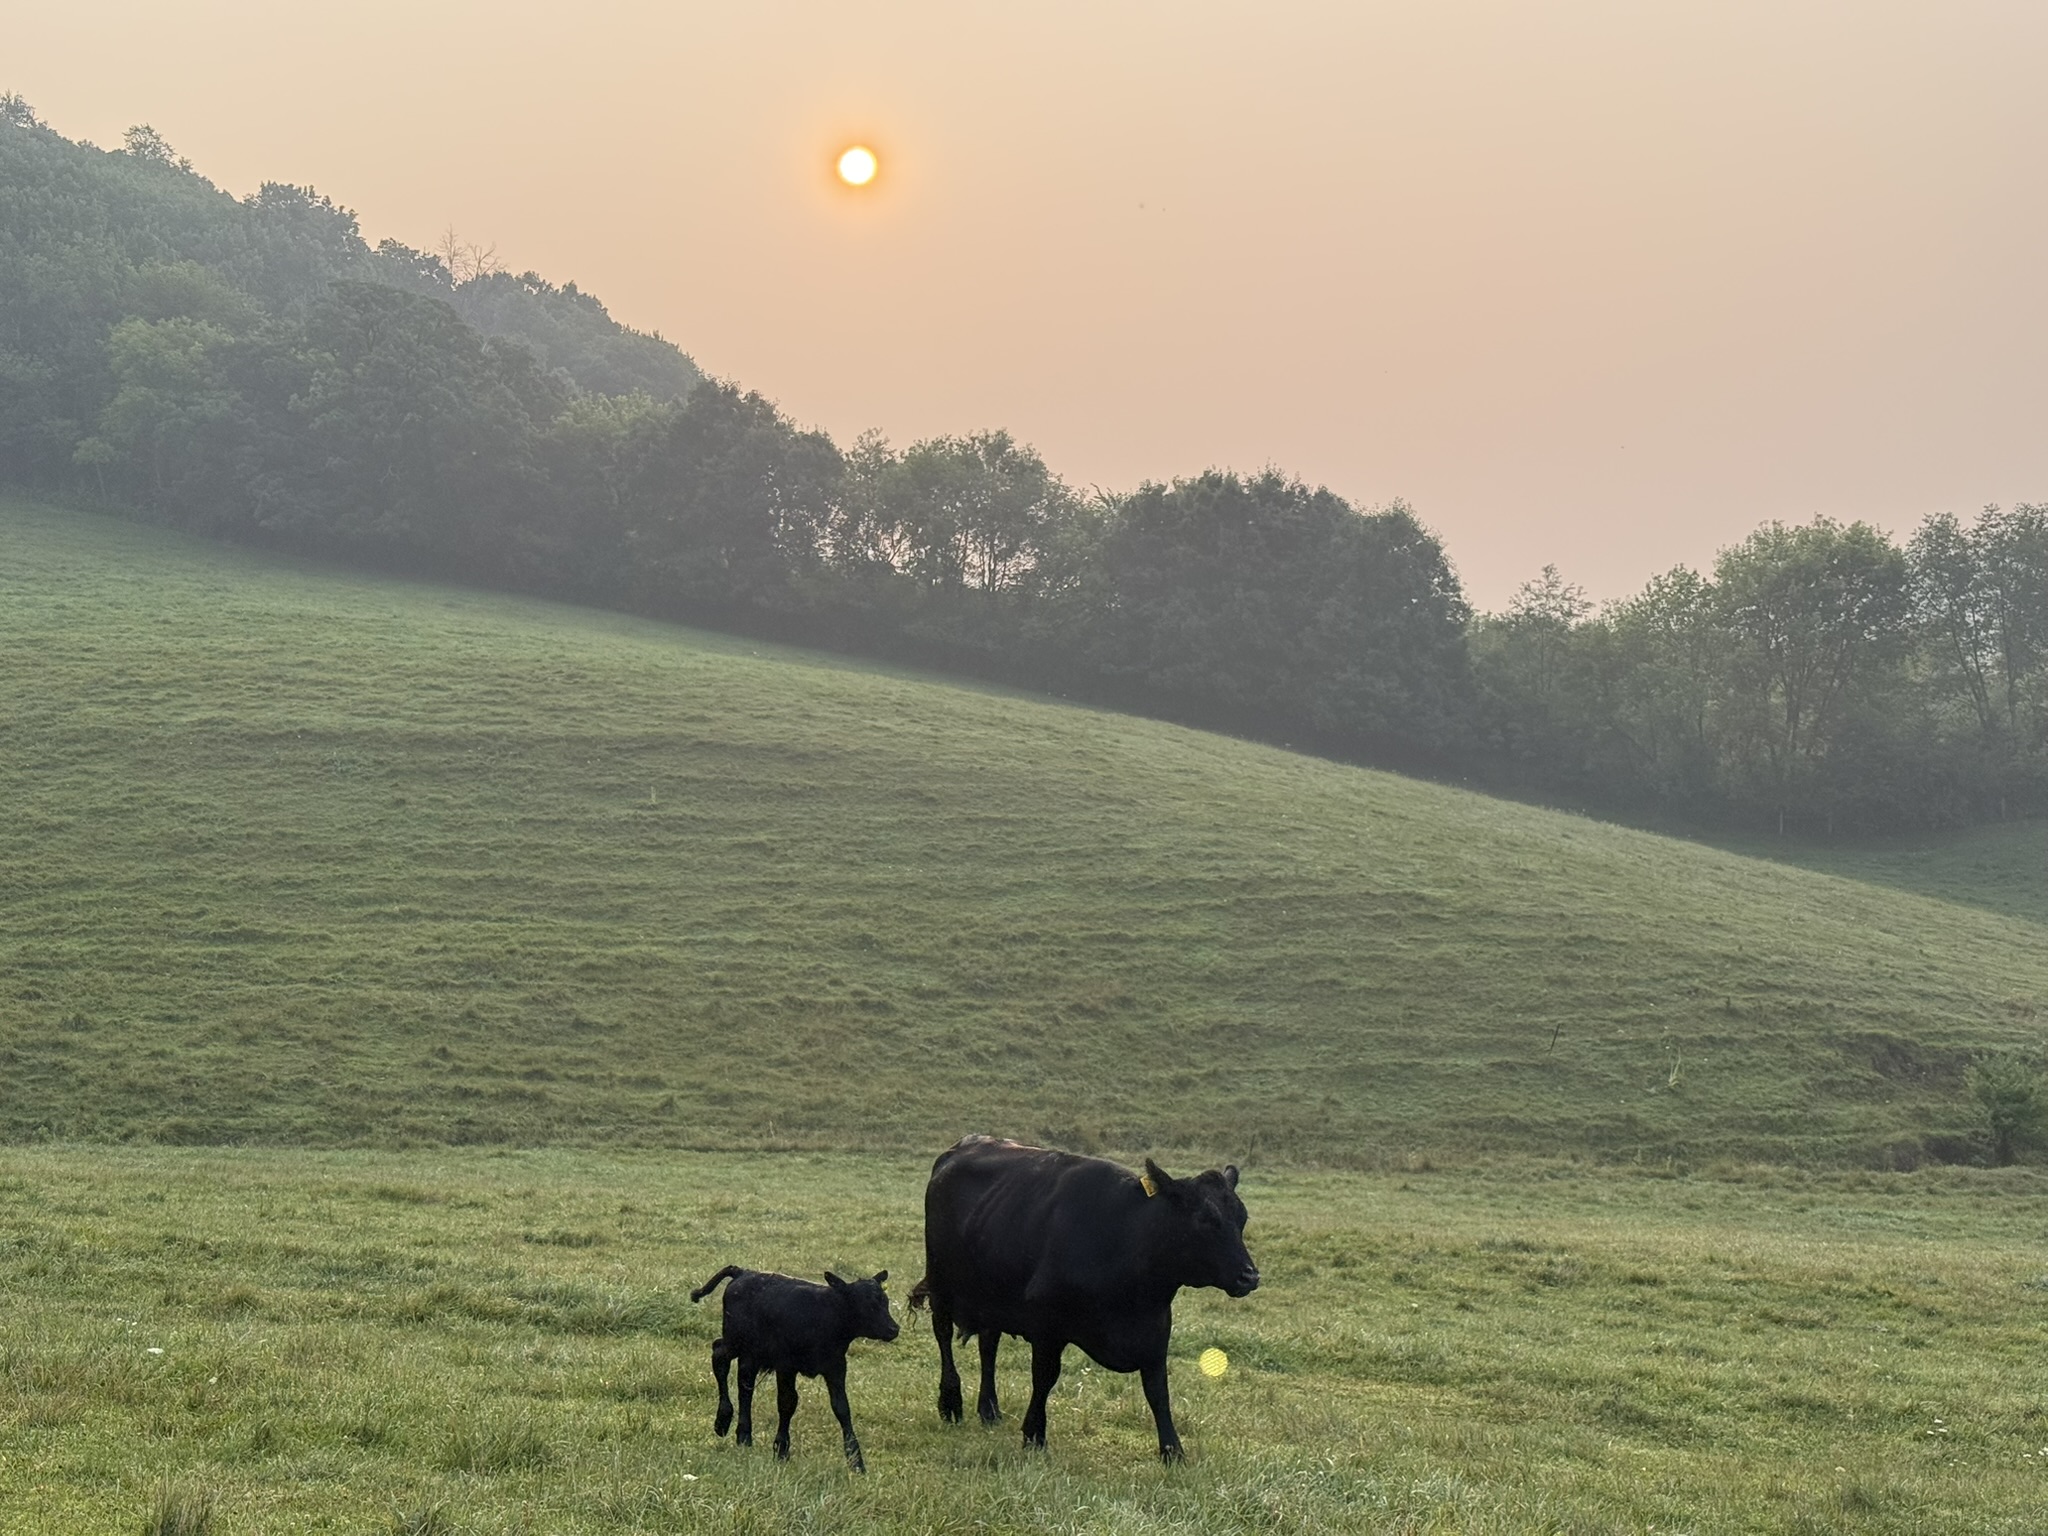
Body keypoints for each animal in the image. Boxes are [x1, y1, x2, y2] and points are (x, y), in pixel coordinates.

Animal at [689, 1264, 900, 1471]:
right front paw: (781, 1449)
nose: (894, 1329)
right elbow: (787, 1402)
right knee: (719, 1356)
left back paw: (743, 1435)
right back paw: (723, 1421)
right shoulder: (786, 1365)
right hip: (735, 1341)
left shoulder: (836, 1366)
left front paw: (856, 1460)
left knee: (745, 1386)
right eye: (867, 1304)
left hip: (750, 1354)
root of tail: (743, 1272)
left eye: (885, 1302)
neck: (826, 1316)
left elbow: (842, 1408)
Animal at [909, 1135, 1258, 1461]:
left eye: (1242, 1219)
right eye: (1205, 1219)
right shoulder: (1047, 1327)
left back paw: (989, 1409)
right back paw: (950, 1403)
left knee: (988, 1346)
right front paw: (1034, 1435)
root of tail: (963, 1146)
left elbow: (1158, 1390)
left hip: (991, 1295)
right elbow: (1044, 1378)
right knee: (943, 1335)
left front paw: (1173, 1451)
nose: (1250, 1276)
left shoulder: (1156, 1329)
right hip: (941, 1284)